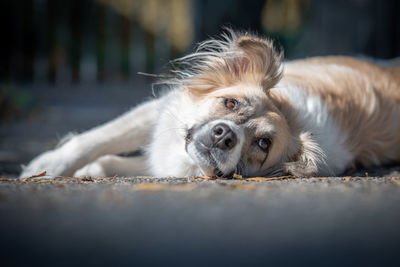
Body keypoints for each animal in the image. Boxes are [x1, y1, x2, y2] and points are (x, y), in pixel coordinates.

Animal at [20, 30, 400, 179]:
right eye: (229, 102)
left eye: (263, 144)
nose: (223, 135)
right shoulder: (163, 109)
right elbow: (95, 139)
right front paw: (48, 166)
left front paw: (92, 170)